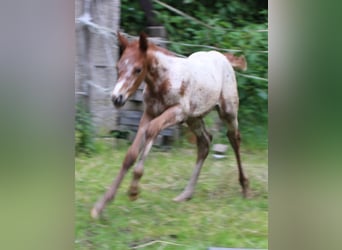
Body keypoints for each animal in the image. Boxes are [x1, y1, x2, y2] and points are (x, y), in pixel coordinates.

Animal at [91, 32, 250, 218]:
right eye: (118, 67)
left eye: (138, 69)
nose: (117, 98)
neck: (162, 81)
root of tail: (223, 57)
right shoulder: (149, 113)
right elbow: (130, 154)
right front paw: (101, 205)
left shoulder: (177, 111)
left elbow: (152, 130)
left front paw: (134, 189)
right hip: (193, 117)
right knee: (205, 142)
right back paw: (186, 194)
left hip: (227, 111)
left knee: (234, 138)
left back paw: (245, 187)